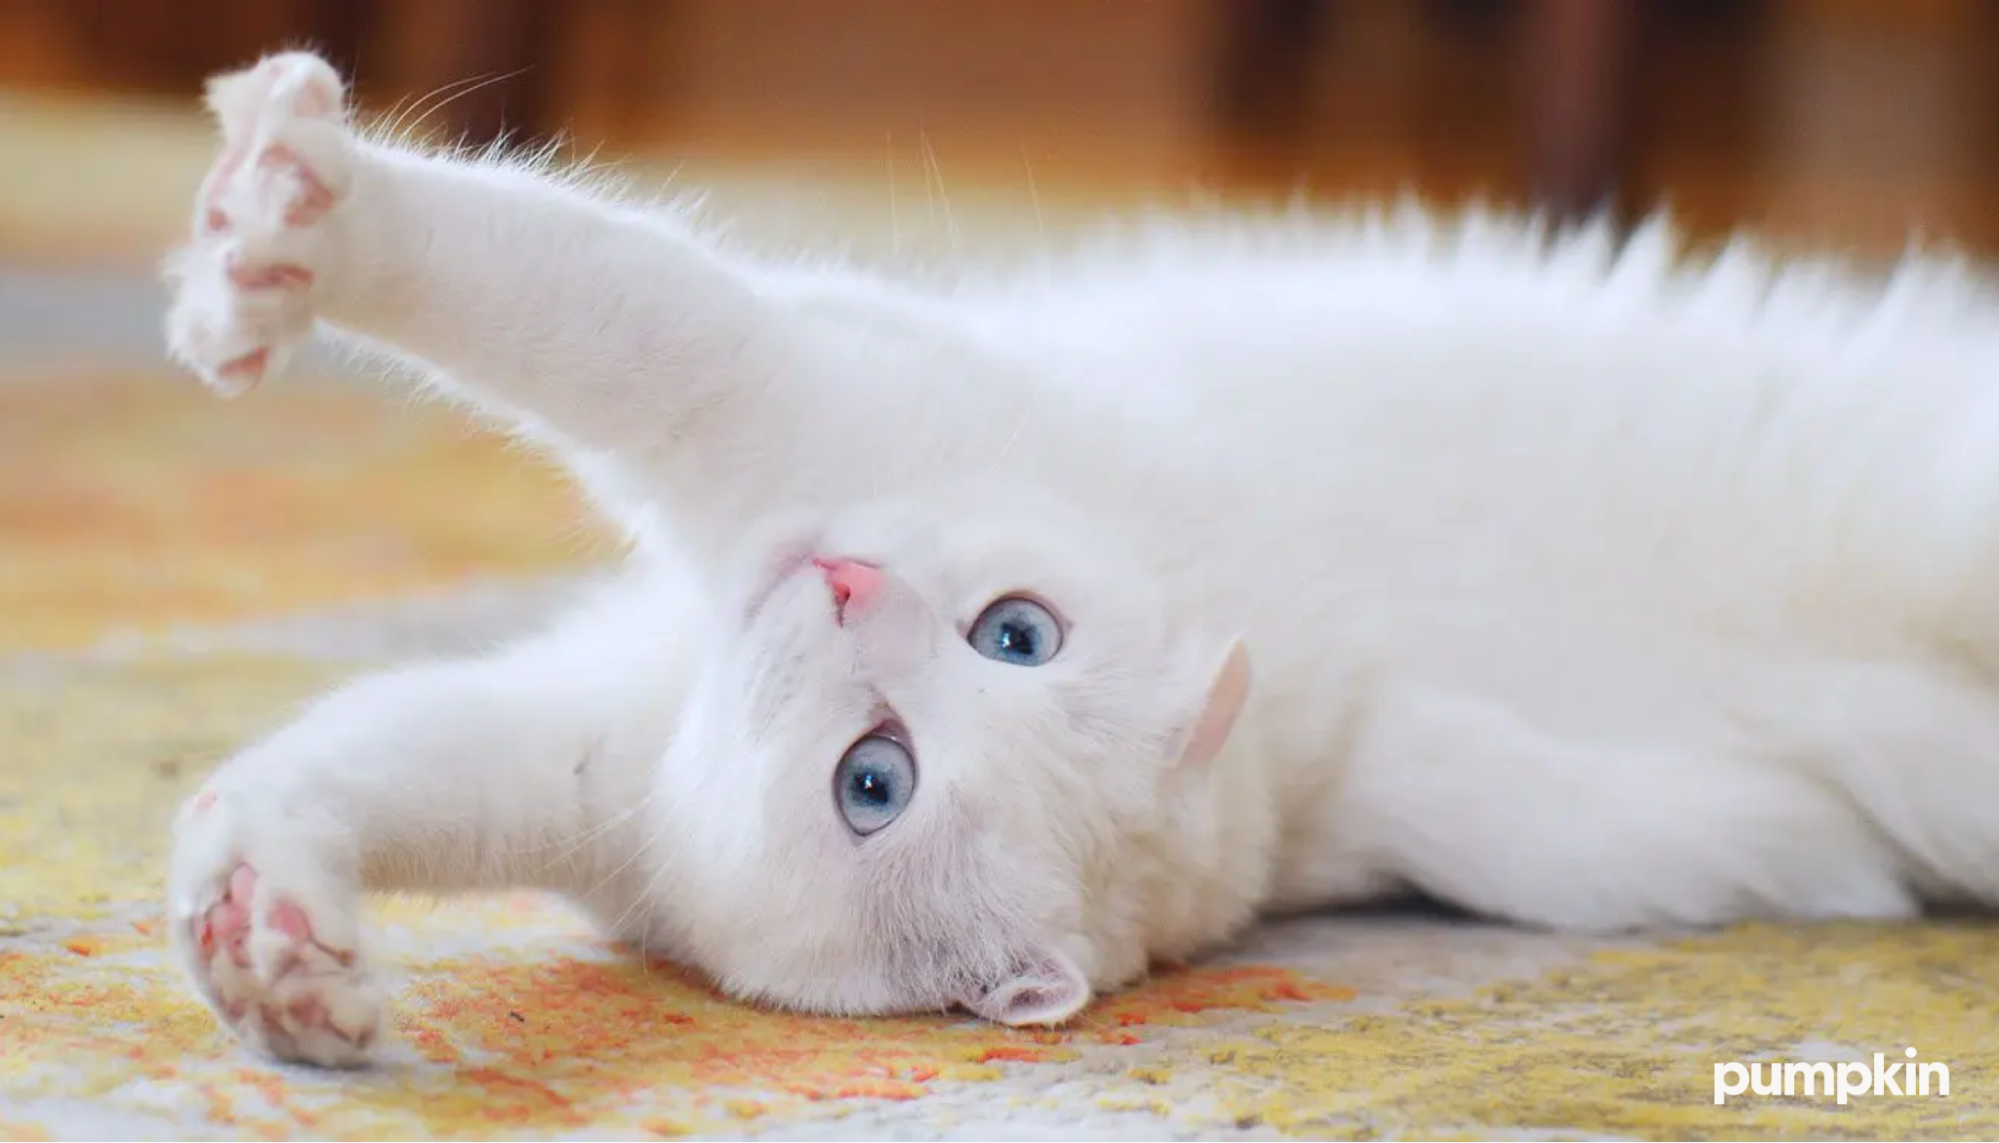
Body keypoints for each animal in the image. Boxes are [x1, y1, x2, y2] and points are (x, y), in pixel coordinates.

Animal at [163, 51, 1999, 1071]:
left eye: (875, 781)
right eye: (1018, 631)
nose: (844, 582)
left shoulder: (749, 389)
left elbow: (572, 292)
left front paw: (294, 235)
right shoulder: (574, 751)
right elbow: (356, 762)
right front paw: (278, 946)